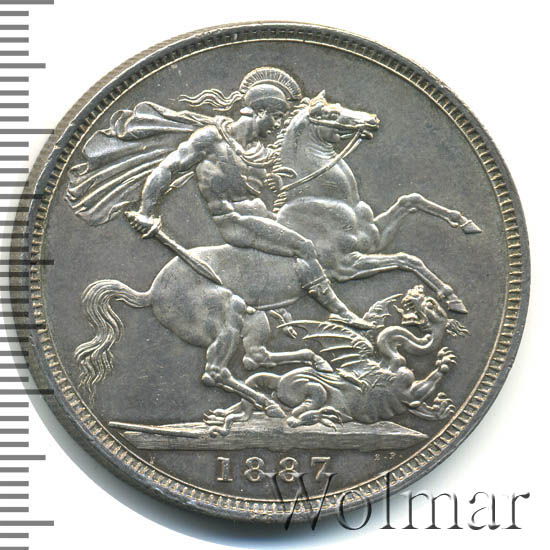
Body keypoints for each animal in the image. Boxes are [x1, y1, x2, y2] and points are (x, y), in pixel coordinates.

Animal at [75, 92, 479, 417]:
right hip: (228, 312)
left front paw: (465, 227)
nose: (371, 121)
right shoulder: (346, 266)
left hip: (257, 318)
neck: (322, 196)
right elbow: (406, 259)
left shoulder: (374, 239)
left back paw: (309, 368)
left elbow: (411, 205)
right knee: (216, 371)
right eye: (331, 113)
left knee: (254, 357)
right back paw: (273, 402)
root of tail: (150, 292)